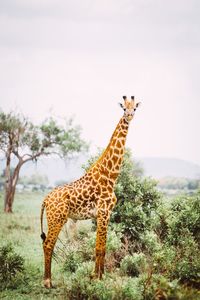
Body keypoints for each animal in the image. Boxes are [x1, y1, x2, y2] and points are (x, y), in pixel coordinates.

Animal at [40, 95, 141, 288]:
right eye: (124, 108)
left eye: (135, 108)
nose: (130, 116)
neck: (110, 175)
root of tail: (45, 200)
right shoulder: (102, 212)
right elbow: (98, 248)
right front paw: (96, 278)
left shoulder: (106, 214)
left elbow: (102, 247)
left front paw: (101, 276)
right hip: (57, 218)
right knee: (48, 244)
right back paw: (48, 281)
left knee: (47, 243)